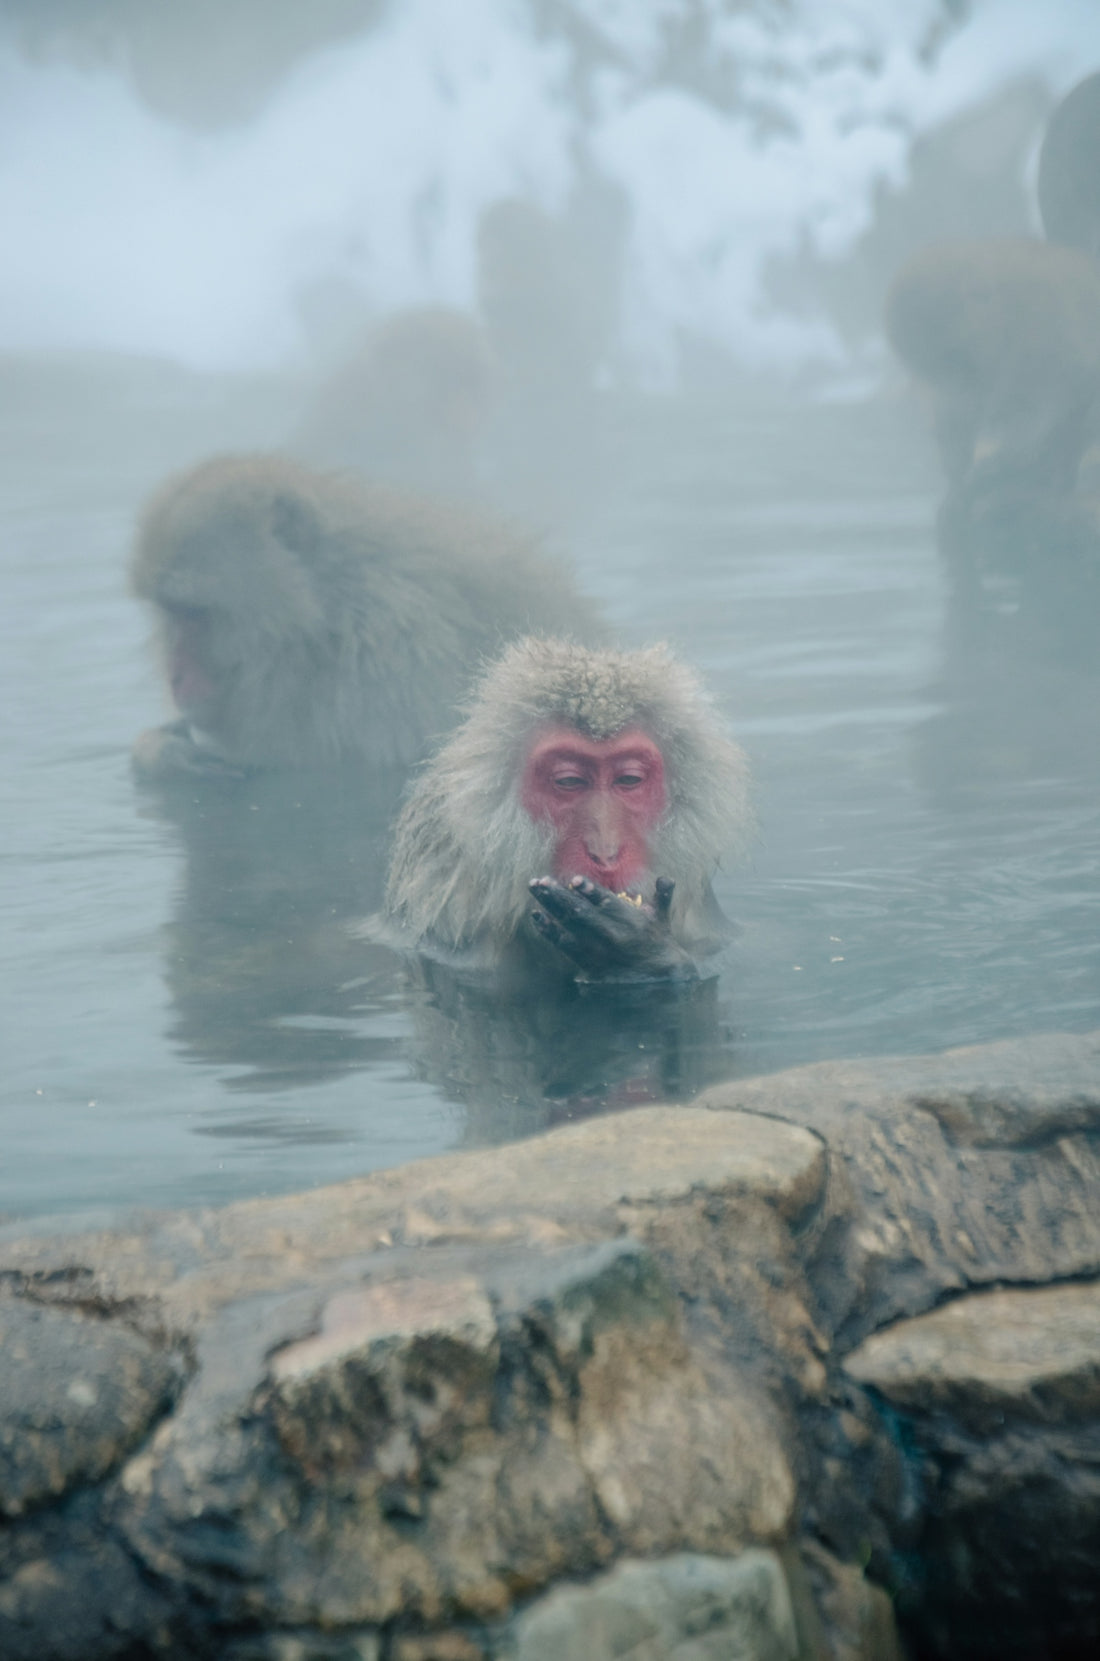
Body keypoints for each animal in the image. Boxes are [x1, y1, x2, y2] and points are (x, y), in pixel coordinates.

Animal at [129, 453, 600, 781]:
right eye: (170, 613)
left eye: (196, 613)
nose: (174, 675)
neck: (327, 618)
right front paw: (163, 747)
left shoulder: (391, 665)